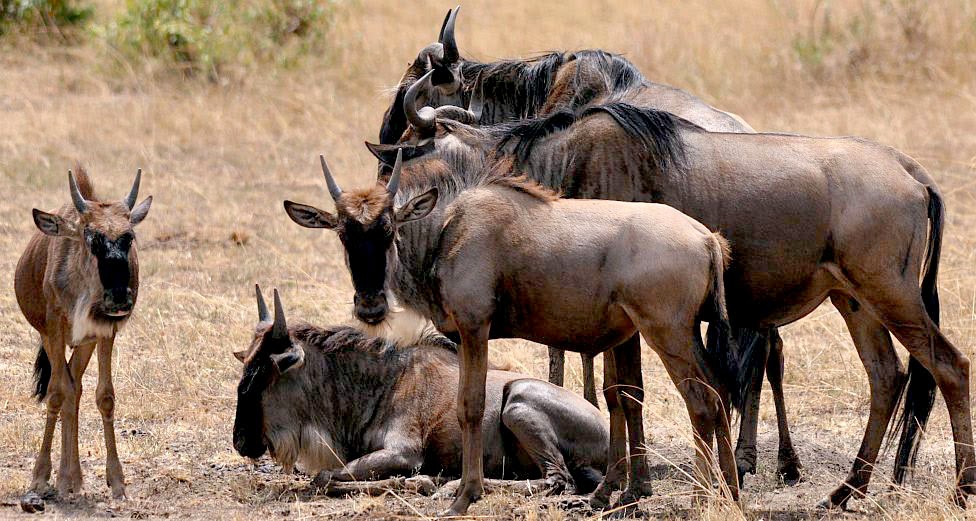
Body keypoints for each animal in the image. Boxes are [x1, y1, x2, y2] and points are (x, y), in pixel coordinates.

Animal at [231, 288, 608, 496]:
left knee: (558, 480)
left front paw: (424, 483)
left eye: (266, 375)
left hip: (518, 402)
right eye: (245, 368)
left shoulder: (403, 452)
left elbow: (324, 477)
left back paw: (455, 487)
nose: (240, 442)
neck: (382, 383)